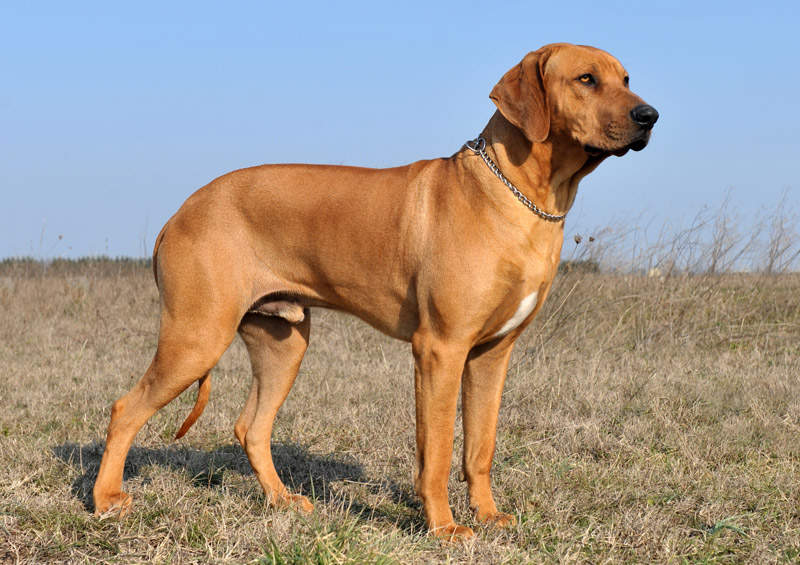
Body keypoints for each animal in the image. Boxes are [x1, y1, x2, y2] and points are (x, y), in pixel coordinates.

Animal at [92, 43, 656, 536]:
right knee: (124, 410)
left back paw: (282, 500)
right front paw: (444, 528)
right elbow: (437, 453)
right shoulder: (440, 350)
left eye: (627, 78)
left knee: (250, 427)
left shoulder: (492, 354)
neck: (521, 196)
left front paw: (489, 516)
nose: (649, 115)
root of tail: (179, 213)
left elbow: (480, 447)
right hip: (196, 337)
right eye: (586, 79)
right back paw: (105, 500)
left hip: (283, 343)